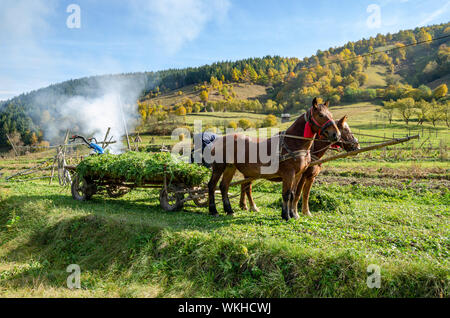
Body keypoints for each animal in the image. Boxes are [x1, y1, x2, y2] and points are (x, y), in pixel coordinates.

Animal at [206, 98, 340, 220]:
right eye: (321, 115)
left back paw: (229, 210)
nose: (336, 135)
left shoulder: (298, 174)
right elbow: (286, 194)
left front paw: (293, 214)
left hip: (230, 167)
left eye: (331, 115)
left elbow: (292, 194)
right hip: (219, 167)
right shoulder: (288, 173)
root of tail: (219, 139)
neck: (292, 142)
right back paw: (213, 210)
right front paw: (286, 216)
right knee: (212, 185)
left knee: (224, 186)